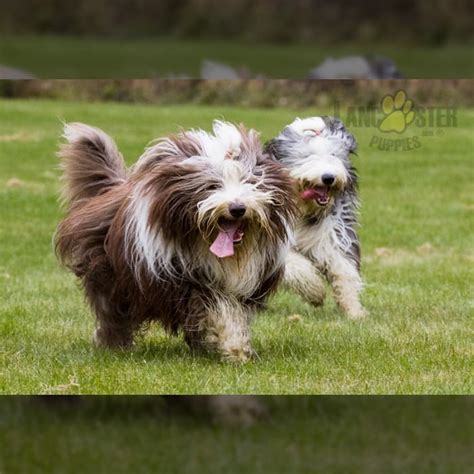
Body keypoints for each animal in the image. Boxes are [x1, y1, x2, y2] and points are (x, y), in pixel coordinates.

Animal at [53, 120, 294, 362]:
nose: (237, 208)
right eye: (212, 186)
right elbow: (216, 306)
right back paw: (114, 344)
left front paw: (233, 347)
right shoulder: (182, 280)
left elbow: (231, 309)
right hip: (109, 274)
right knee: (112, 311)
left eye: (250, 183)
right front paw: (235, 348)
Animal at [266, 116, 366, 320]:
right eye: (307, 156)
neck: (303, 210)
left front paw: (353, 310)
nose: (328, 177)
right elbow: (295, 264)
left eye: (334, 154)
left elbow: (343, 268)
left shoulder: (332, 232)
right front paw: (315, 291)